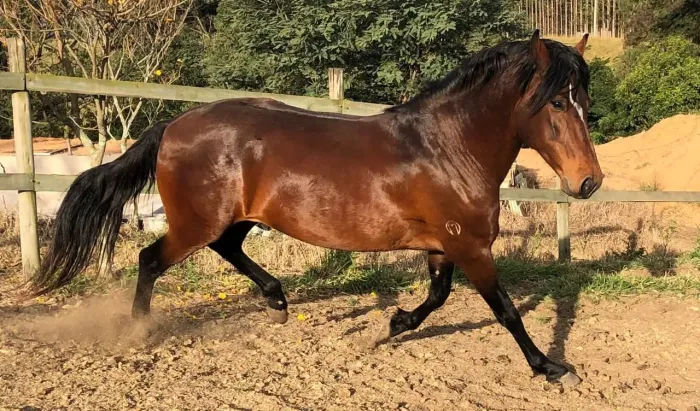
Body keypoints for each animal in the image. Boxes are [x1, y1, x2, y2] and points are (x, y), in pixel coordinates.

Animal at [29, 30, 602, 386]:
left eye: (586, 101)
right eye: (556, 102)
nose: (589, 182)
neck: (447, 147)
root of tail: (173, 125)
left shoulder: (443, 246)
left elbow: (437, 297)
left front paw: (393, 324)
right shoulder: (470, 245)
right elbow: (505, 310)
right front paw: (552, 367)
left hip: (237, 219)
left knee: (226, 250)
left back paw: (278, 300)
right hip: (196, 223)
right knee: (150, 260)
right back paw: (140, 330)